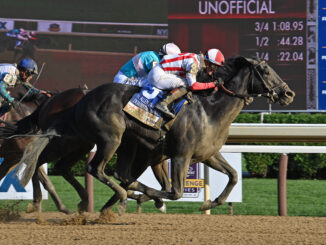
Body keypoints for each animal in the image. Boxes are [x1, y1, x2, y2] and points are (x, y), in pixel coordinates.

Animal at [16, 56, 294, 213]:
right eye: (266, 71)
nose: (288, 93)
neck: (210, 111)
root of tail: (81, 99)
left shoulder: (206, 154)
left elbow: (234, 175)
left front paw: (209, 203)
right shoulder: (179, 156)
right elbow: (174, 191)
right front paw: (139, 199)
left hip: (105, 143)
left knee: (60, 165)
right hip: (107, 139)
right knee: (88, 168)